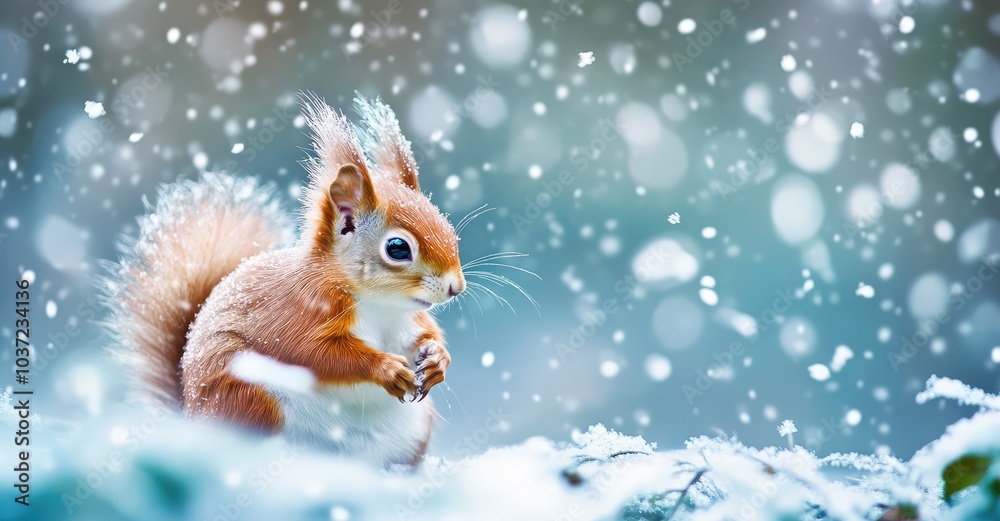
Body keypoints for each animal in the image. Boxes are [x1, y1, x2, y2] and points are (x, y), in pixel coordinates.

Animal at [104, 94, 466, 467]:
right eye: (397, 248)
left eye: (446, 226)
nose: (457, 287)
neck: (380, 305)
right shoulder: (295, 312)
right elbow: (315, 353)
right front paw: (385, 368)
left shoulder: (406, 321)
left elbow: (424, 335)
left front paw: (437, 359)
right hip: (249, 398)